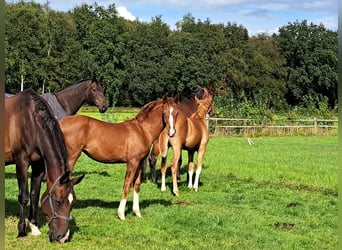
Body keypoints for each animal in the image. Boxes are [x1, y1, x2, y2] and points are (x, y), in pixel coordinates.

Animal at [5, 88, 83, 242]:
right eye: (58, 202)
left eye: (73, 203)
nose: (63, 237)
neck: (30, 121)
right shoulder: (21, 161)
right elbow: (24, 197)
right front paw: (22, 230)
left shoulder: (39, 165)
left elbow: (34, 195)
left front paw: (34, 227)